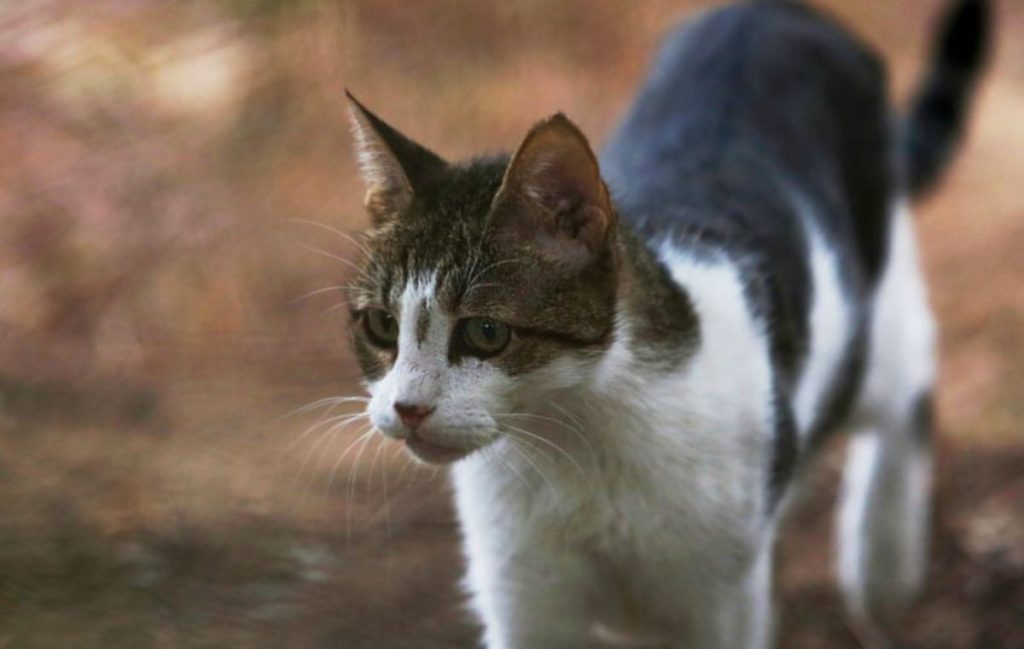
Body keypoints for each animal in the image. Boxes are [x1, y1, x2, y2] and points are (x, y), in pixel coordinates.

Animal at [339, 1, 987, 642]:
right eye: (380, 326)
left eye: (486, 333)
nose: (407, 408)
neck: (578, 437)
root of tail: (775, 10)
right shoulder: (523, 594)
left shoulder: (722, 602)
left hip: (874, 315)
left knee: (905, 381)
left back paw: (882, 561)